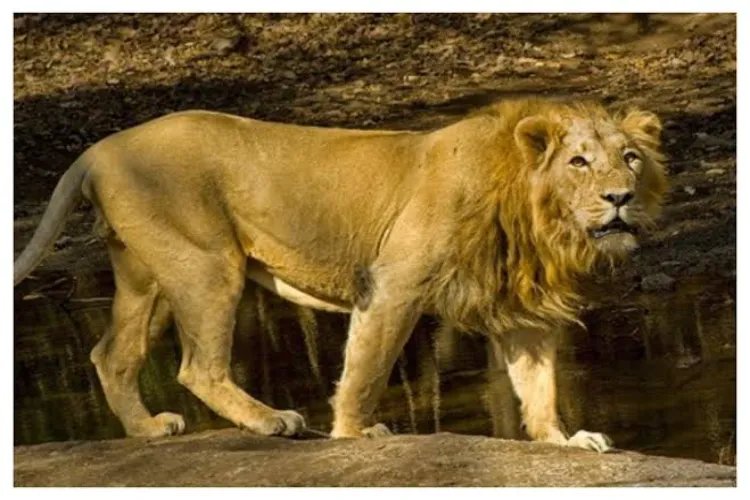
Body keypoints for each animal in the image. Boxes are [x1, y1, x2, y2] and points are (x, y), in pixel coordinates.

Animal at [14, 98, 667, 452]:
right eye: (578, 161)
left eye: (630, 158)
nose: (620, 197)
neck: (540, 222)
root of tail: (98, 148)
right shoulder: (395, 283)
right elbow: (367, 369)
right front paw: (354, 434)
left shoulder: (523, 307)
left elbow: (539, 383)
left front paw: (563, 440)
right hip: (206, 262)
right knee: (196, 366)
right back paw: (272, 420)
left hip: (147, 276)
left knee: (110, 354)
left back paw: (148, 429)